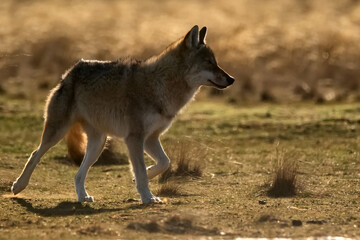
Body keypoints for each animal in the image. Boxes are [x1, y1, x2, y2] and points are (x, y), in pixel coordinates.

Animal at [11, 25, 235, 203]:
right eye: (209, 62)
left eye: (215, 62)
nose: (231, 79)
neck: (161, 85)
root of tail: (70, 71)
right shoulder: (134, 138)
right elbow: (143, 171)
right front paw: (147, 198)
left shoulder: (150, 138)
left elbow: (164, 162)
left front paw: (144, 178)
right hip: (58, 132)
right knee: (35, 153)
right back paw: (19, 186)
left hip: (98, 145)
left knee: (78, 174)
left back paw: (83, 197)